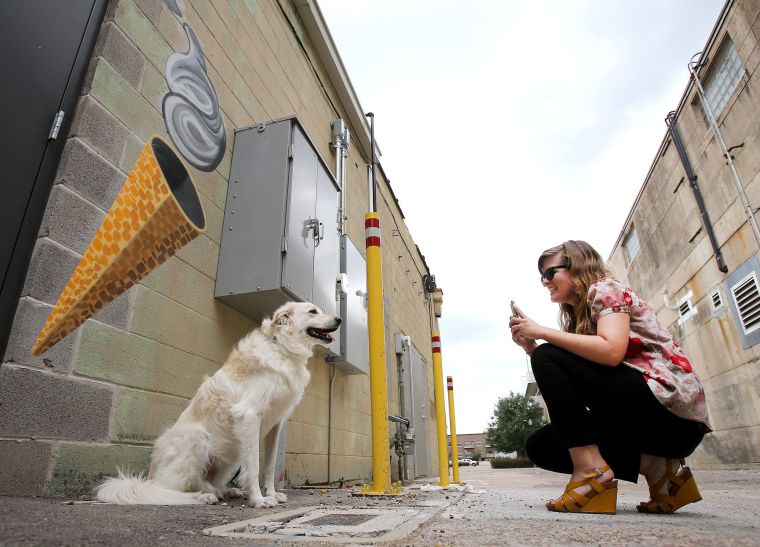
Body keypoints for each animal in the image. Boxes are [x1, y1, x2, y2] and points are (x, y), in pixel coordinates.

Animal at [96, 302, 340, 508]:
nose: (338, 319)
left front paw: (270, 493)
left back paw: (224, 491)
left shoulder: (275, 425)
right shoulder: (249, 416)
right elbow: (254, 466)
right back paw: (203, 496)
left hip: (232, 454)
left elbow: (269, 467)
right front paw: (259, 500)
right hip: (197, 438)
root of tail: (149, 477)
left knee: (210, 483)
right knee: (174, 488)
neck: (281, 348)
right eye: (313, 311)